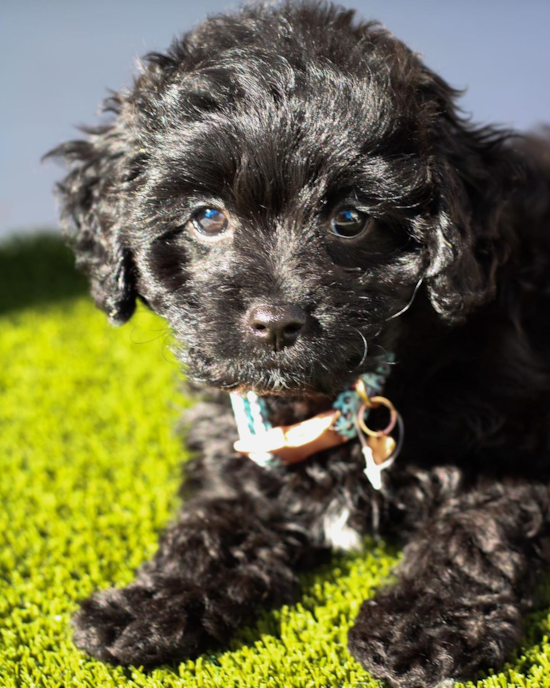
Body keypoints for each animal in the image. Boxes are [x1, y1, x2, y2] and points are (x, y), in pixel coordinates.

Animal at [50, 2, 550, 684]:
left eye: (350, 220)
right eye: (208, 217)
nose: (277, 322)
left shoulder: (514, 440)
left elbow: (476, 530)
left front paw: (422, 624)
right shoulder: (237, 439)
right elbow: (214, 520)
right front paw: (149, 601)